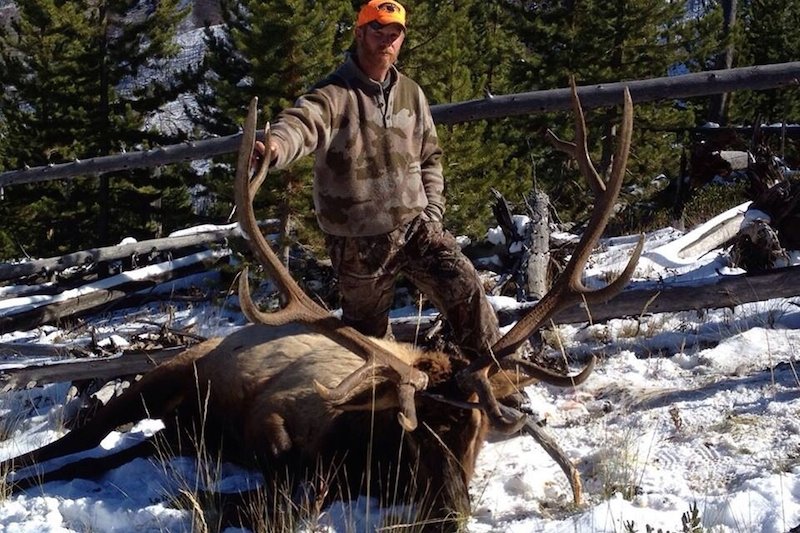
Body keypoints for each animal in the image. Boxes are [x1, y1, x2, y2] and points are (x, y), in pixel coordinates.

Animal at [0, 82, 642, 532]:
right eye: (419, 430)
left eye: (478, 432)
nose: (449, 513)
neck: (366, 453)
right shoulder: (277, 426)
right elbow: (276, 497)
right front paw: (196, 497)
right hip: (162, 377)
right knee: (74, 444)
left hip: (175, 426)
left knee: (100, 457)